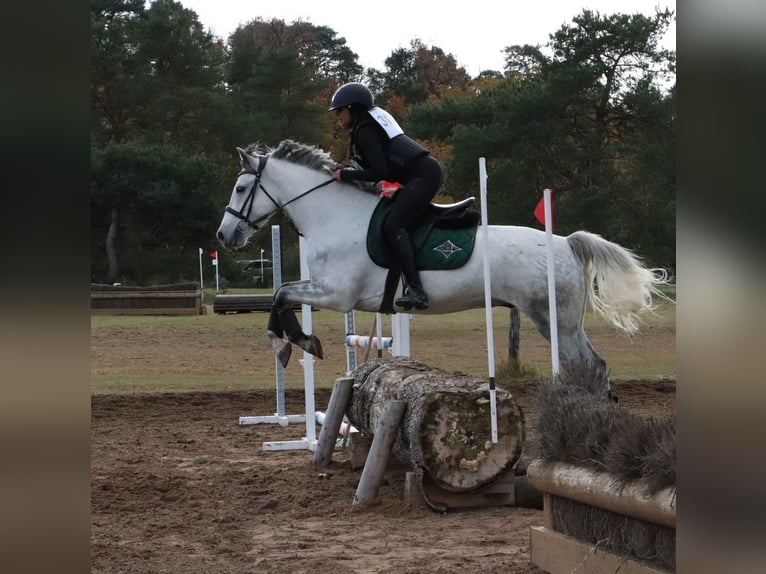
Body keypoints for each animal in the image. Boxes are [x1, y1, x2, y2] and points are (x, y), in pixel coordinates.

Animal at [216, 140, 668, 395]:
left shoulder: (336, 293)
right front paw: (292, 342)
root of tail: (567, 243)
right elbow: (280, 295)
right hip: (564, 320)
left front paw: (296, 343)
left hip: (553, 319)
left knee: (586, 366)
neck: (335, 214)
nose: (224, 236)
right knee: (593, 366)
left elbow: (280, 295)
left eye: (240, 188)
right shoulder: (328, 289)